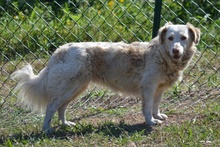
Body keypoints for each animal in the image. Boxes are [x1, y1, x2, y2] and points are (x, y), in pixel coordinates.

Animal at [12, 22, 201, 133]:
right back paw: (46, 130)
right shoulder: (148, 87)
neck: (161, 55)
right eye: (170, 38)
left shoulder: (159, 89)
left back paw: (66, 125)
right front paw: (151, 121)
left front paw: (158, 116)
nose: (176, 50)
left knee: (61, 108)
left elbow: (156, 105)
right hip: (68, 88)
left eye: (183, 38)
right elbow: (147, 108)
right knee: (51, 107)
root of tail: (61, 49)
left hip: (76, 88)